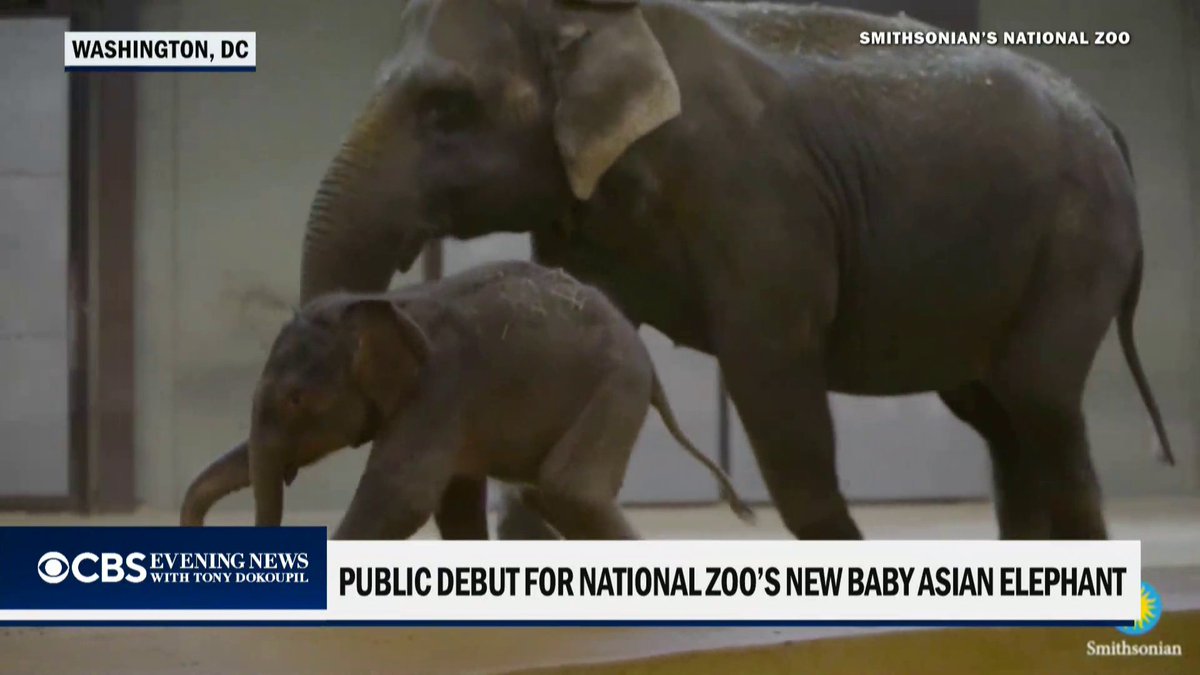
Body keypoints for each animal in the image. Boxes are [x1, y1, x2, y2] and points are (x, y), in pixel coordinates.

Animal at [180, 261, 754, 539]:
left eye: (296, 400)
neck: (381, 305)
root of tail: (649, 362)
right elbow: (452, 507)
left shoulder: (440, 389)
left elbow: (402, 495)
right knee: (553, 494)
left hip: (615, 387)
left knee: (569, 490)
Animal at [292, 0, 1175, 540]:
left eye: (448, 106)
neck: (603, 21)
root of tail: (1107, 121)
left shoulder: (760, 197)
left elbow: (771, 368)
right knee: (995, 415)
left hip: (1079, 241)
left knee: (1040, 401)